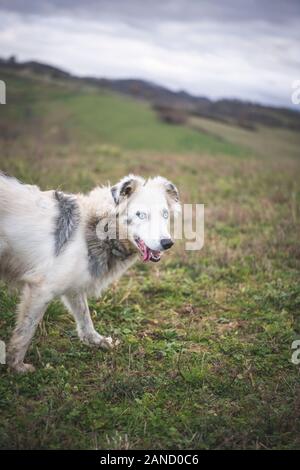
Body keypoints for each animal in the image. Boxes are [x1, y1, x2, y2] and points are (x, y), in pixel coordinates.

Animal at [0, 171, 179, 372]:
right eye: (141, 215)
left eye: (165, 214)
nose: (168, 243)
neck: (98, 228)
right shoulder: (42, 289)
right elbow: (26, 331)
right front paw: (16, 366)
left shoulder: (74, 286)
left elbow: (85, 317)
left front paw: (97, 341)